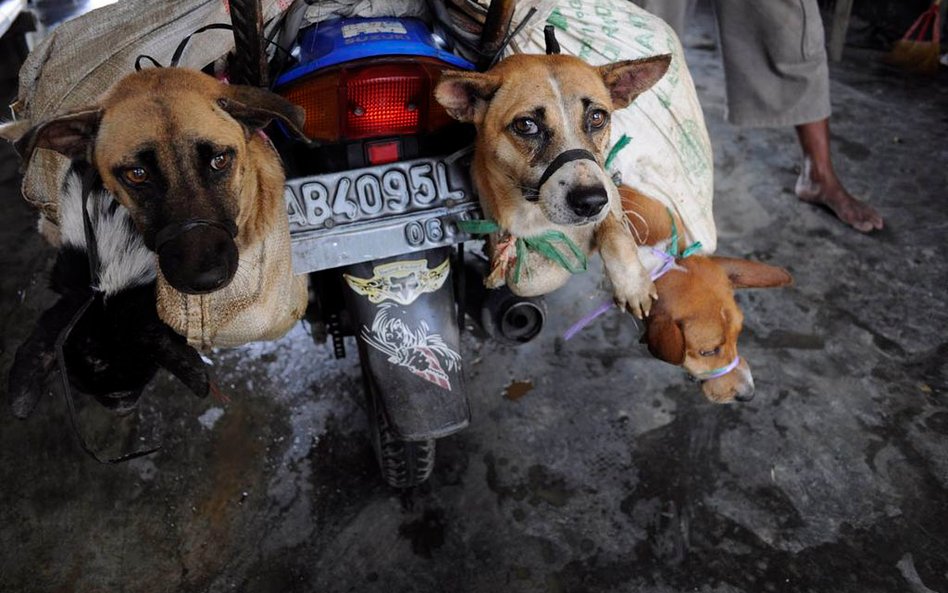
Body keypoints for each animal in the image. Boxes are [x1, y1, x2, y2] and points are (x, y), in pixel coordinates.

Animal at [434, 53, 672, 316]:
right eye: (526, 125)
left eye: (597, 117)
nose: (591, 202)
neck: (532, 213)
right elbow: (525, 281)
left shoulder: (607, 187)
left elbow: (616, 235)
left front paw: (633, 286)